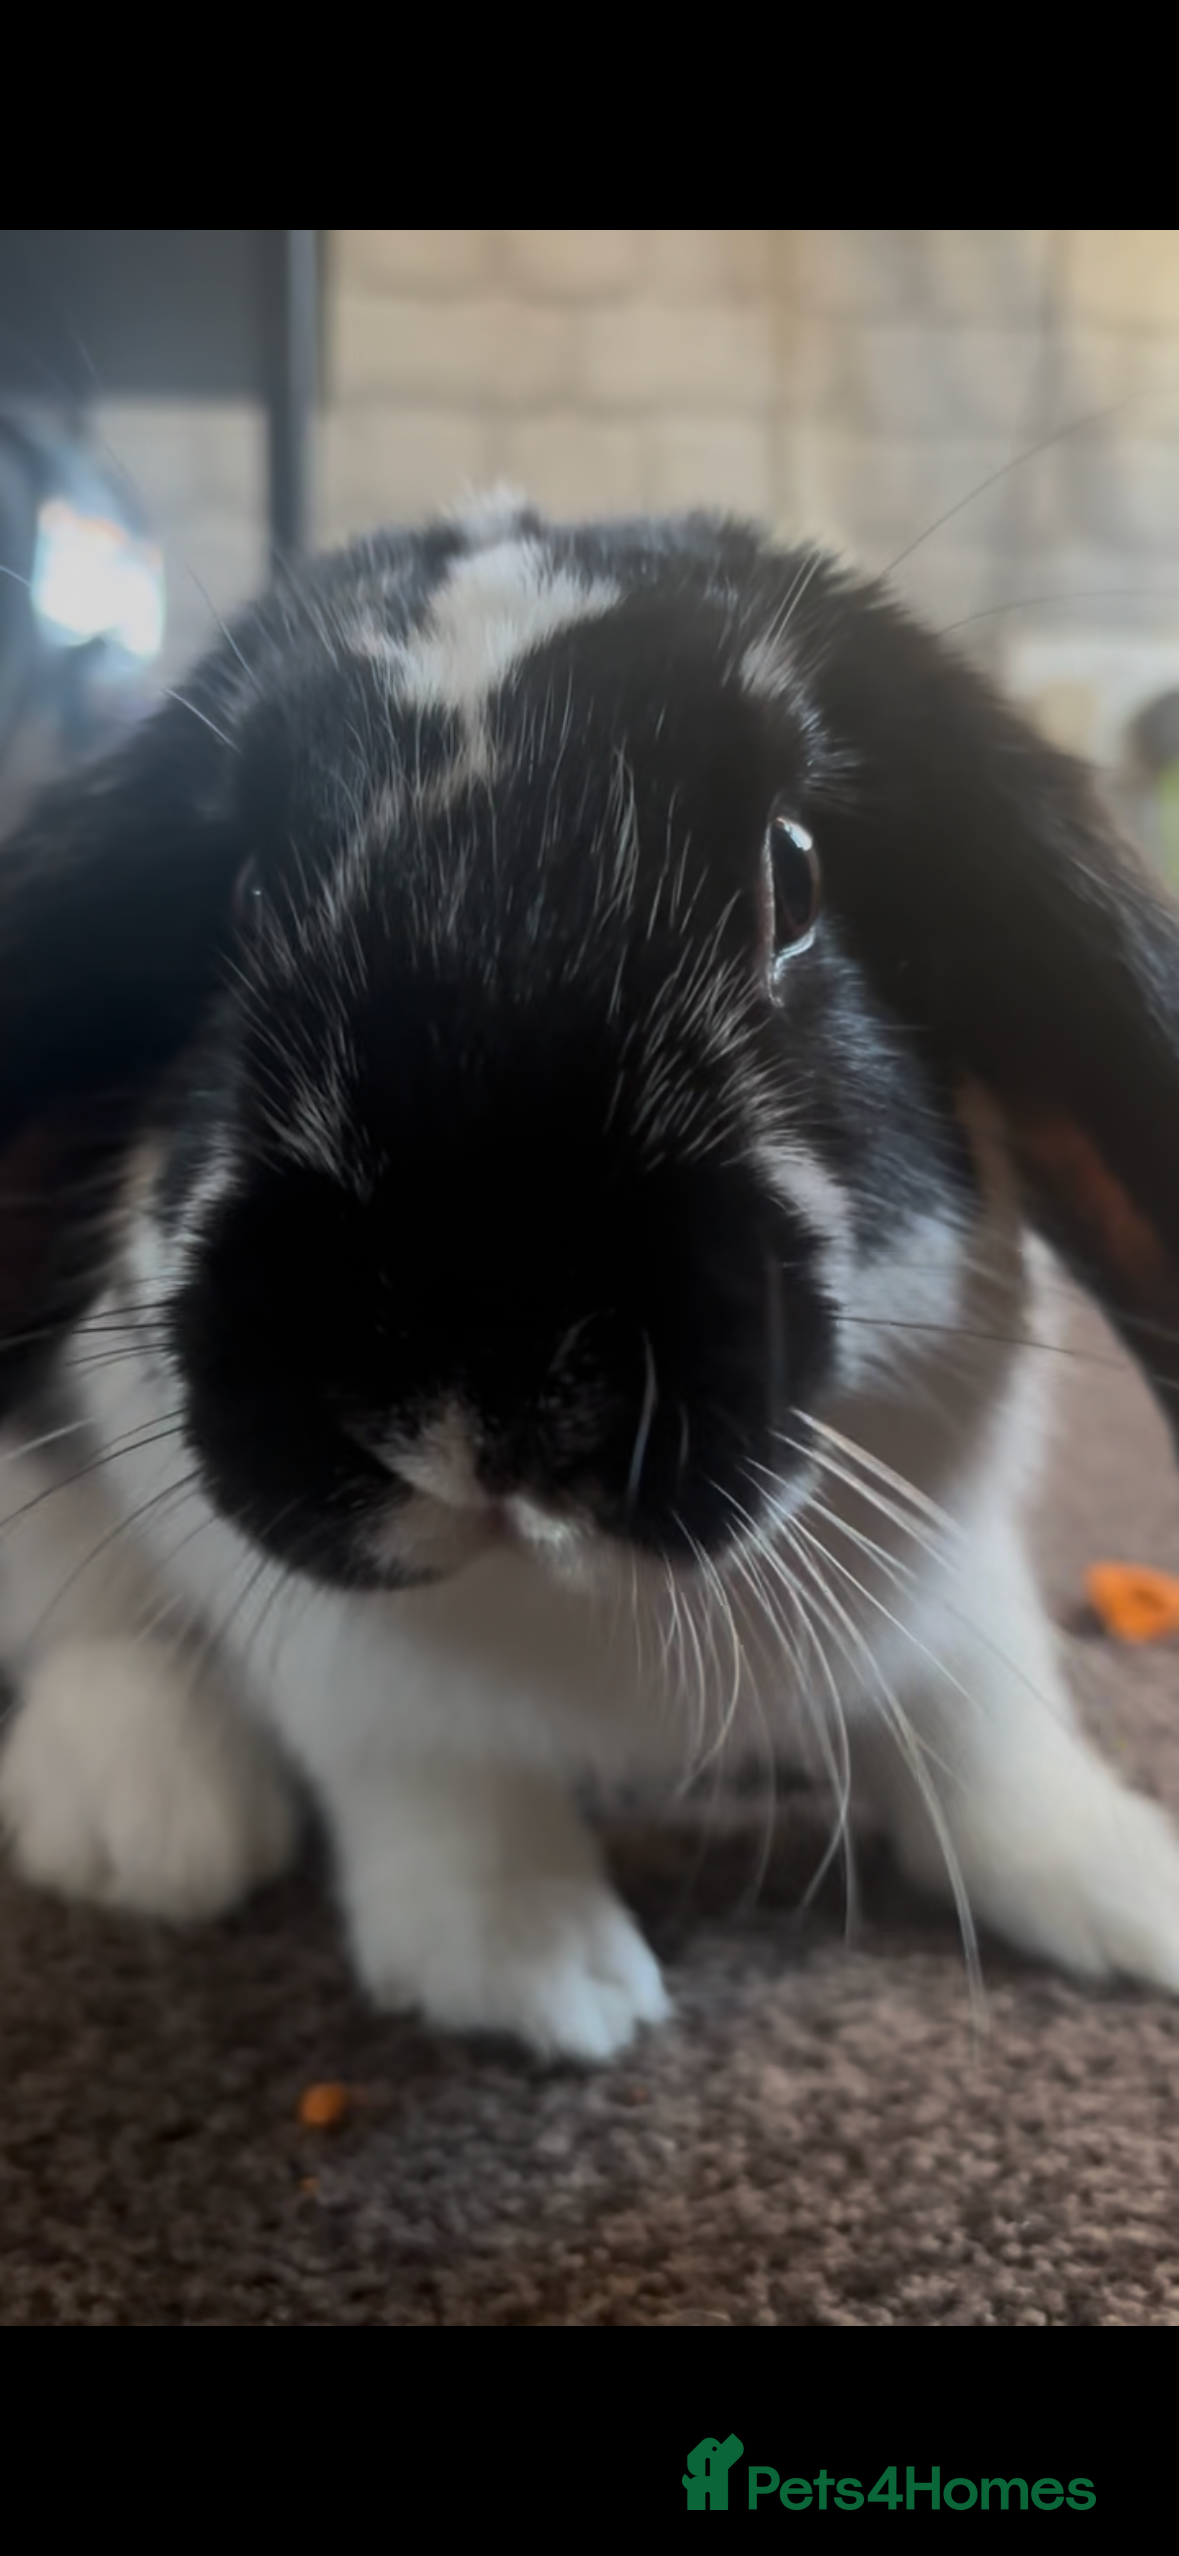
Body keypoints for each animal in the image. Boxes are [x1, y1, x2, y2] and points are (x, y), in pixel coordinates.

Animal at [1, 488, 1179, 2064]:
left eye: (793, 874)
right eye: (238, 898)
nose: (475, 1366)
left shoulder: (953, 1558)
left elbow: (978, 1710)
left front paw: (1120, 1888)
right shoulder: (349, 1661)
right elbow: (431, 1765)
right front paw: (540, 1978)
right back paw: (143, 1818)